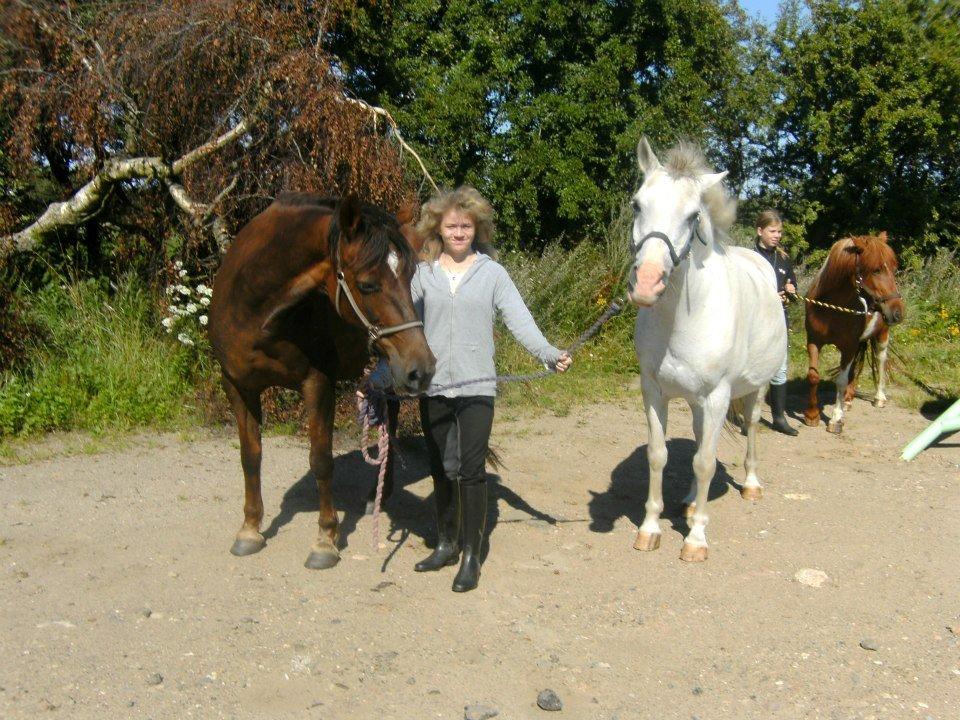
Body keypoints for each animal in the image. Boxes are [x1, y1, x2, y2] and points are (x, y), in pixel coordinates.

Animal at [211, 194, 438, 572]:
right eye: (367, 284)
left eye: (410, 278)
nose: (422, 368)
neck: (254, 311)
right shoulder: (238, 386)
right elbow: (250, 456)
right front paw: (250, 529)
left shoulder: (317, 384)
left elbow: (320, 460)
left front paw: (325, 540)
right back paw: (378, 495)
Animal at [632, 139, 788, 564]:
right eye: (637, 205)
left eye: (692, 216)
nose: (647, 284)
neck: (684, 317)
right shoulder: (654, 392)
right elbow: (659, 455)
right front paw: (650, 529)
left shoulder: (719, 396)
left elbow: (704, 463)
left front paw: (696, 539)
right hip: (697, 402)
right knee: (702, 437)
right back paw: (687, 503)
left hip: (754, 390)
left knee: (751, 426)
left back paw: (751, 485)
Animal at [808, 232, 904, 434]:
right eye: (876, 270)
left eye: (894, 268)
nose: (898, 312)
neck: (831, 308)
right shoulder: (813, 341)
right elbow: (813, 376)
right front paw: (811, 415)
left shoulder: (848, 347)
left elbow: (841, 380)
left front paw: (835, 419)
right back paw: (848, 399)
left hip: (881, 335)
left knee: (880, 360)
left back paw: (879, 398)